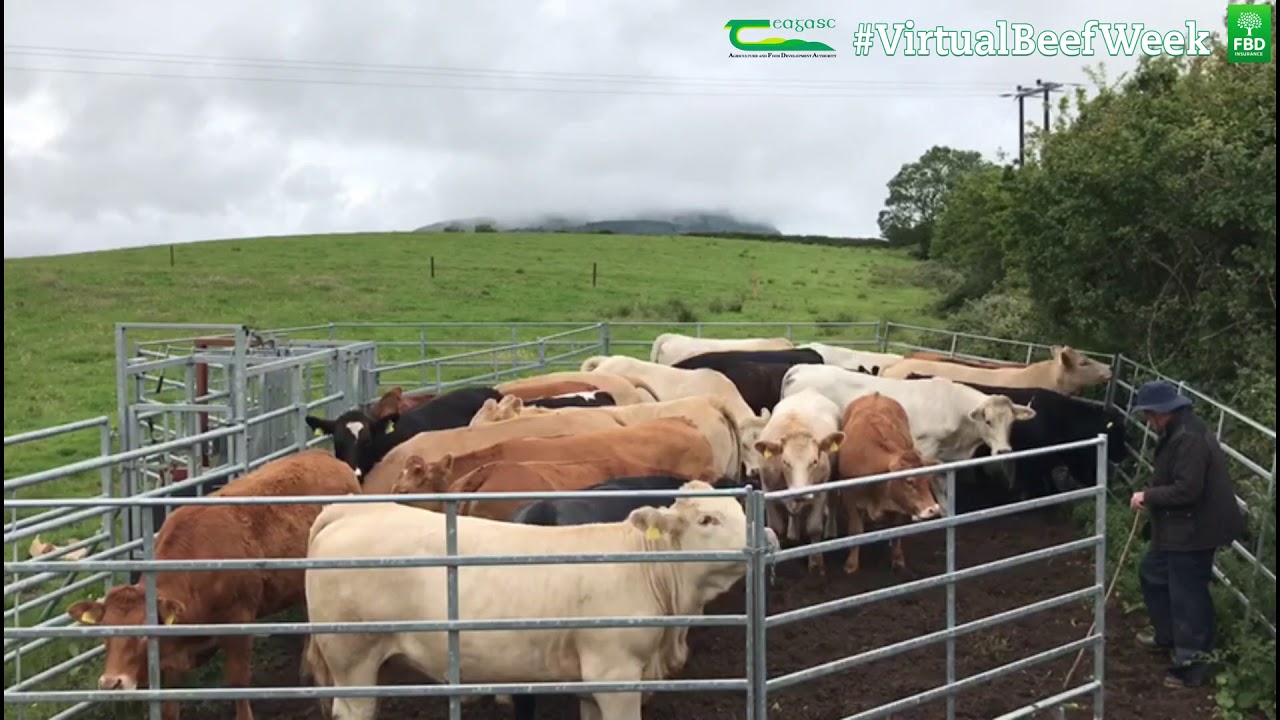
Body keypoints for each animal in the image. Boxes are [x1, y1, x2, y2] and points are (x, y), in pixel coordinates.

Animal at [66, 450, 359, 720]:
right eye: (104, 631)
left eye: (142, 634)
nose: (111, 683)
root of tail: (326, 457)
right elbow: (170, 702)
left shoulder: (240, 622)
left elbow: (238, 681)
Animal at [300, 481, 779, 720]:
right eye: (707, 518)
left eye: (740, 509)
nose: (768, 536)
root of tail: (350, 510)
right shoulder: (616, 673)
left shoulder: (590, 680)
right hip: (354, 659)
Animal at [753, 387, 845, 575]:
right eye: (785, 462)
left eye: (814, 461)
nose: (800, 493)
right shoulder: (767, 490)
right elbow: (775, 527)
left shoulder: (820, 490)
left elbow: (814, 527)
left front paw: (816, 563)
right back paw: (793, 532)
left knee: (832, 502)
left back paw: (831, 530)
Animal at [780, 365, 1037, 510]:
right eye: (988, 420)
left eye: (1011, 422)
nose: (1003, 451)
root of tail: (800, 369)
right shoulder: (926, 451)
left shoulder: (947, 460)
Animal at [834, 393, 943, 575]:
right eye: (909, 481)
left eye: (927, 479)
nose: (932, 509)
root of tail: (876, 394)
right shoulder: (850, 498)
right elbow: (855, 529)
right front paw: (851, 563)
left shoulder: (899, 503)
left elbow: (897, 528)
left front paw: (897, 558)